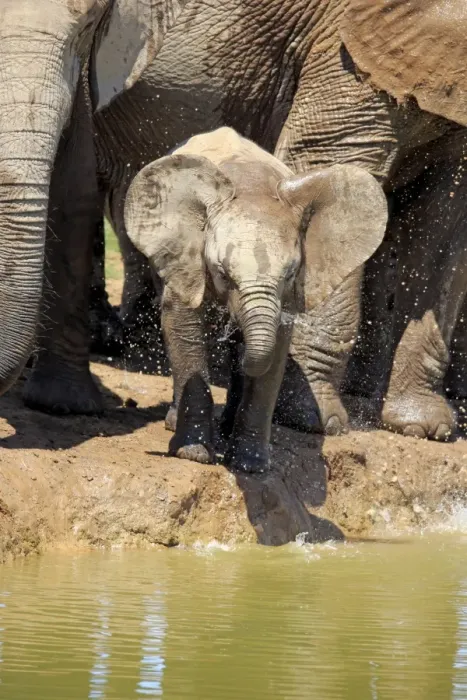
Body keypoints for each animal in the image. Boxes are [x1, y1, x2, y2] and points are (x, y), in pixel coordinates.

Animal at [123, 128, 387, 471]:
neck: (250, 185)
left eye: (291, 272)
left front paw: (250, 465)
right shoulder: (187, 257)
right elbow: (182, 325)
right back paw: (176, 422)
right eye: (222, 272)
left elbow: (277, 346)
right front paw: (192, 455)